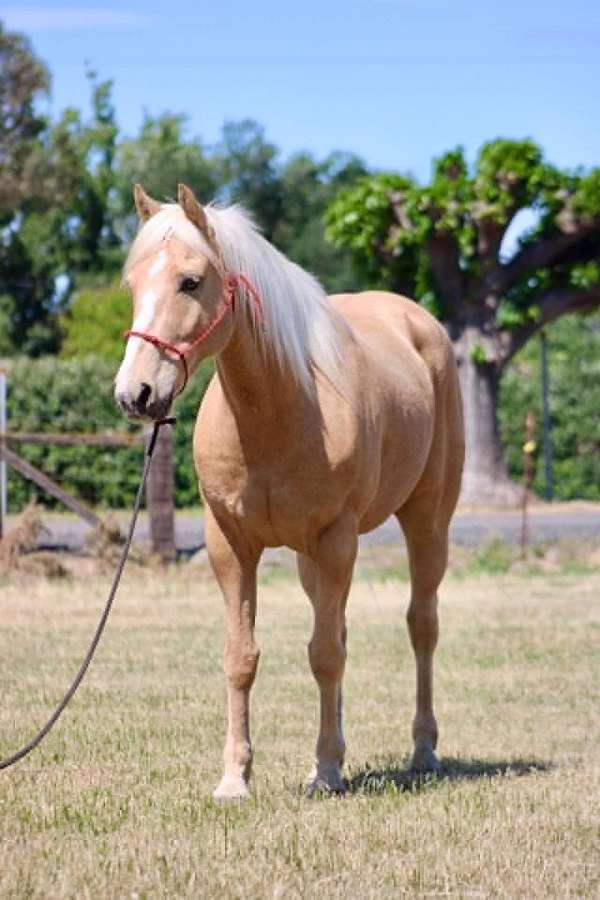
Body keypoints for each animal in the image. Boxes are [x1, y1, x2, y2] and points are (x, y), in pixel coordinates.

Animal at [115, 182, 464, 799]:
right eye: (133, 285)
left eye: (191, 281)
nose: (136, 393)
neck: (279, 410)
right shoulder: (231, 544)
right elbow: (244, 656)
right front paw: (236, 778)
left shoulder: (336, 538)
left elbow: (324, 655)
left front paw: (325, 771)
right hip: (312, 560)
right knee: (342, 628)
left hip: (424, 524)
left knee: (421, 626)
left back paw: (423, 751)